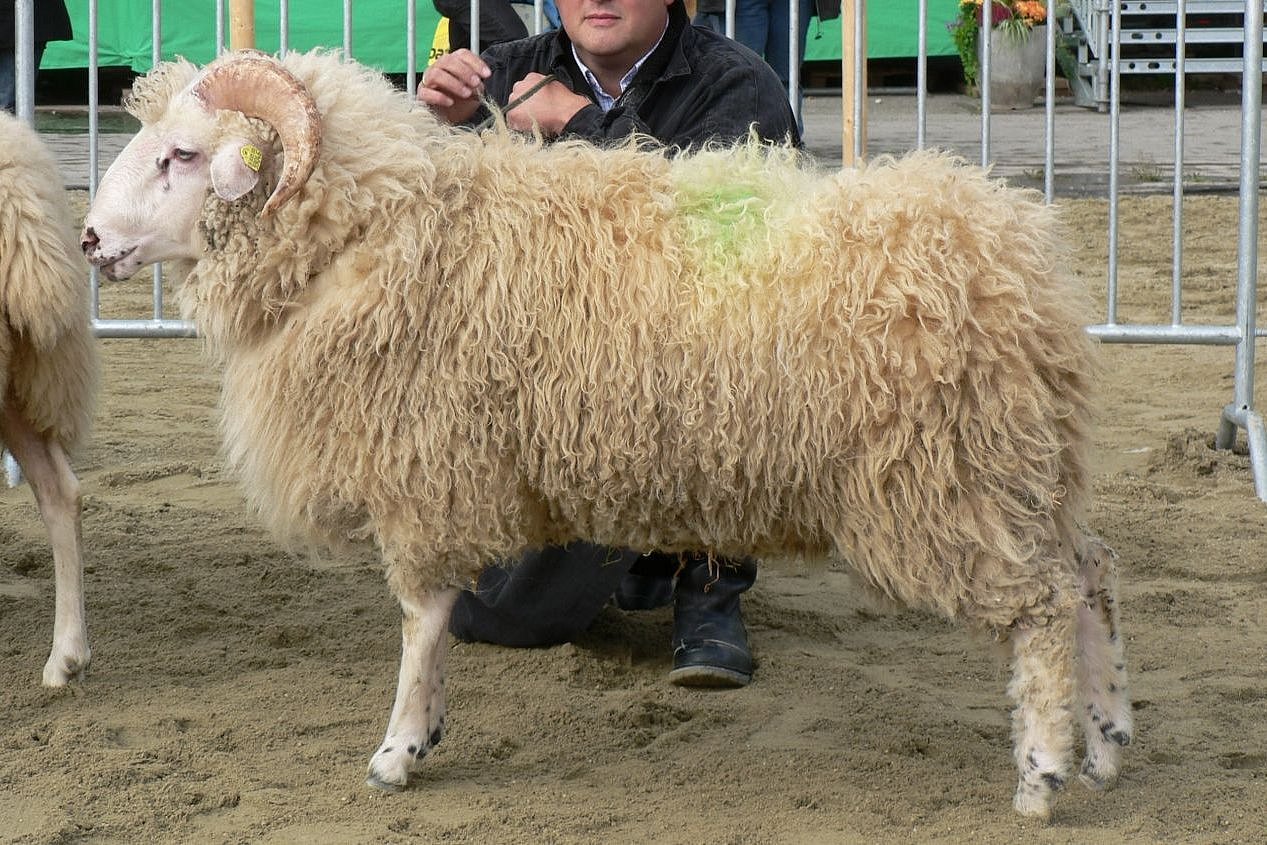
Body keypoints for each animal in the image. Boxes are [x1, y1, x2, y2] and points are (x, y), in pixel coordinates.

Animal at [79, 52, 1130, 820]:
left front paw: (400, 748)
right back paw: (1108, 738)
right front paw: (423, 732)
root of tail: (1021, 259)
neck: (386, 225)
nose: (89, 241)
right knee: (1090, 570)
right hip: (1016, 465)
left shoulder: (427, 465)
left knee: (1042, 603)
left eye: (181, 155)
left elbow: (421, 617)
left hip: (945, 479)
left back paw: (1041, 771)